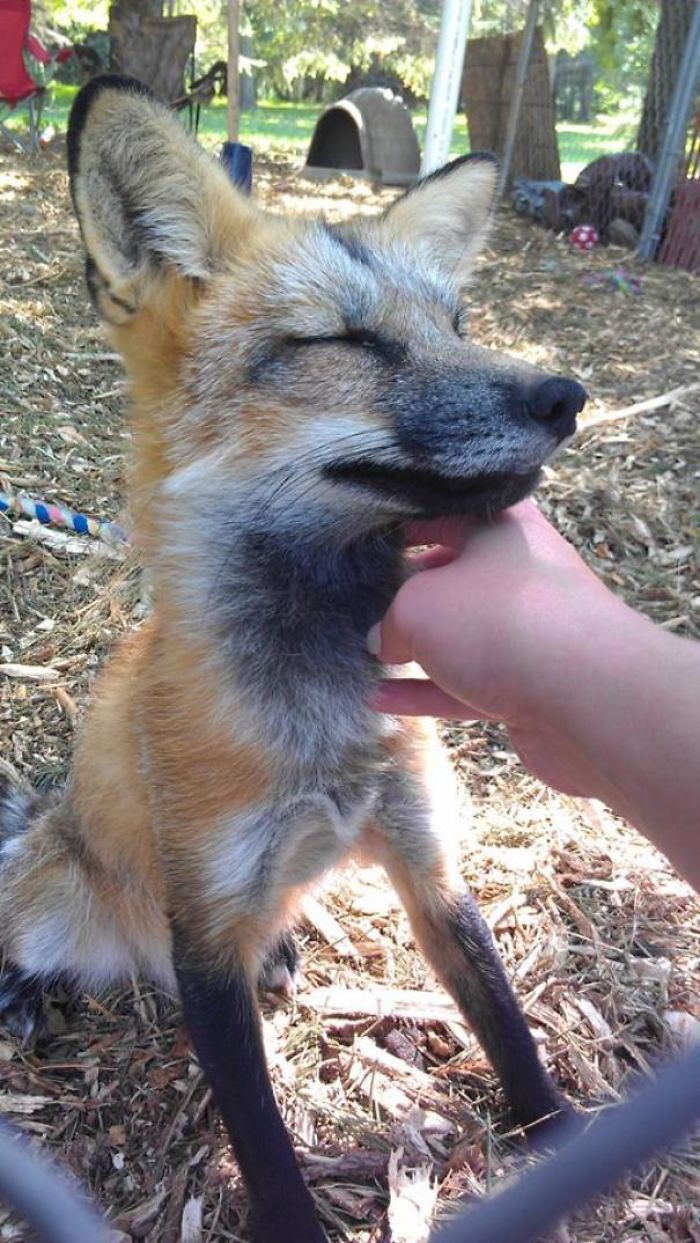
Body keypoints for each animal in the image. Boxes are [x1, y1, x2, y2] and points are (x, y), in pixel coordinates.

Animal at [0, 76, 586, 1242]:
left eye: (456, 326)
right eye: (347, 342)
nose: (565, 395)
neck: (325, 724)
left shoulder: (428, 865)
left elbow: (508, 1026)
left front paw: (565, 1148)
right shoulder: (202, 924)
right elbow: (264, 1145)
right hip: (61, 903)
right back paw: (25, 990)